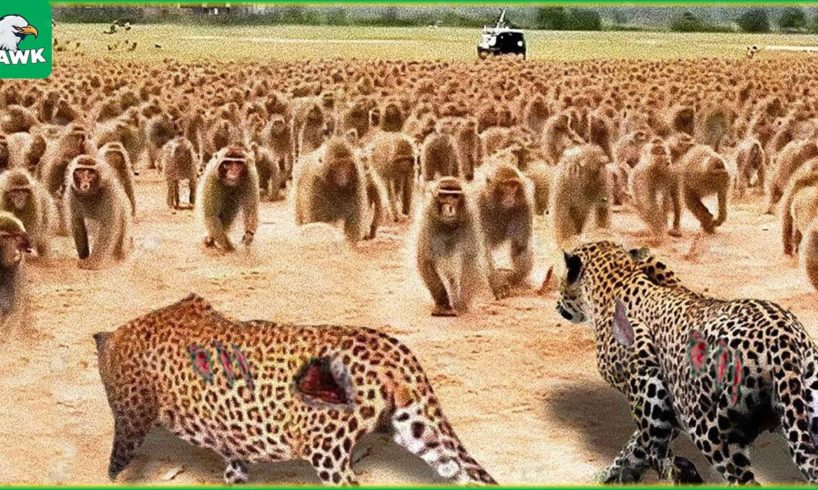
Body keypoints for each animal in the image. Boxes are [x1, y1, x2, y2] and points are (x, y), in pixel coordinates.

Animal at [93, 294, 496, 486]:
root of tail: (393, 352)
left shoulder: (128, 413)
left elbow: (118, 454)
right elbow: (235, 465)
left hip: (328, 450)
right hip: (420, 429)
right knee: (462, 471)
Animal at [555, 240, 818, 484]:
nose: (557, 305)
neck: (618, 279)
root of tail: (782, 339)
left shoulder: (646, 379)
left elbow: (650, 440)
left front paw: (677, 470)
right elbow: (635, 446)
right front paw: (611, 474)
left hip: (706, 425)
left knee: (743, 478)